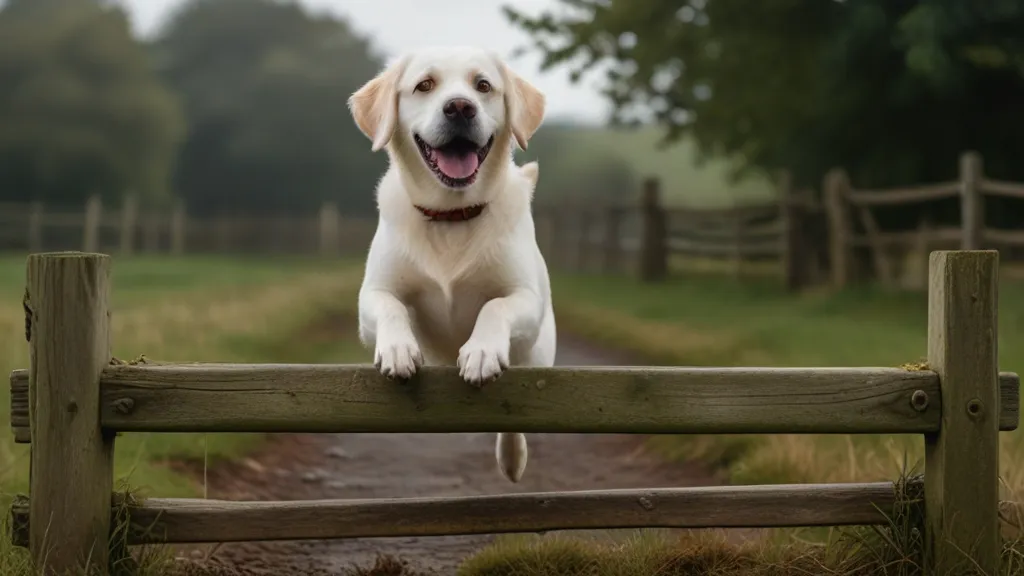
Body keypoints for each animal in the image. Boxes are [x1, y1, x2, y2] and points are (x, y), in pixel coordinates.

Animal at [350, 47, 561, 481]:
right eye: (424, 85)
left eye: (483, 85)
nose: (460, 107)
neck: (451, 215)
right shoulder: (373, 294)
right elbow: (392, 307)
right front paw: (398, 349)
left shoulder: (525, 298)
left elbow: (494, 306)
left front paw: (480, 353)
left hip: (537, 353)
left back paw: (512, 457)